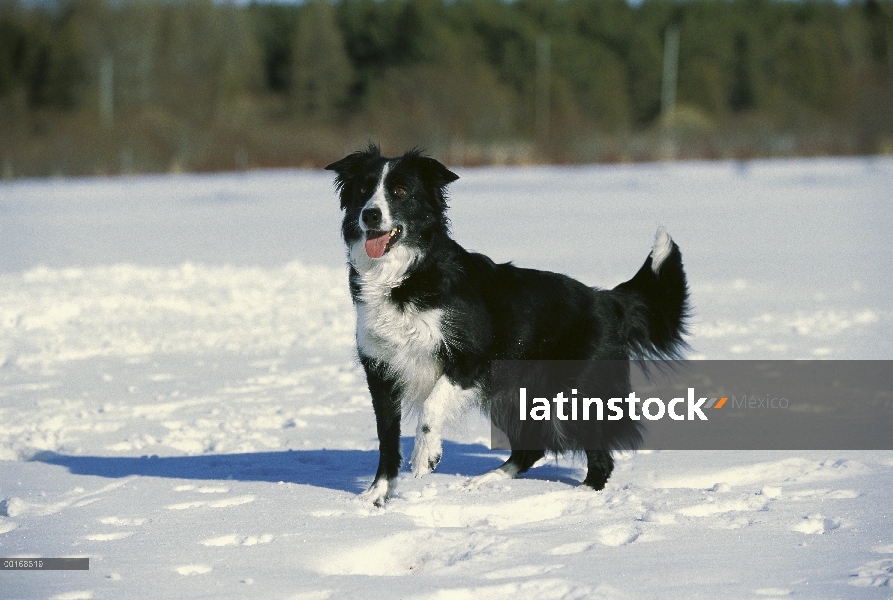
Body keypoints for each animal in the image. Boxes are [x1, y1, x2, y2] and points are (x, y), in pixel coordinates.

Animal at [324, 145, 688, 506]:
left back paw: (581, 496)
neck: (402, 276)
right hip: (512, 397)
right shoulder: (381, 370)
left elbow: (432, 404)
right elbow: (387, 438)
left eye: (399, 191)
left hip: (574, 393)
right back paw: (486, 481)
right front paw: (375, 497)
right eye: (363, 190)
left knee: (598, 455)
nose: (370, 215)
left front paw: (425, 456)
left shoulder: (473, 357)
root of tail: (606, 300)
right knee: (530, 450)